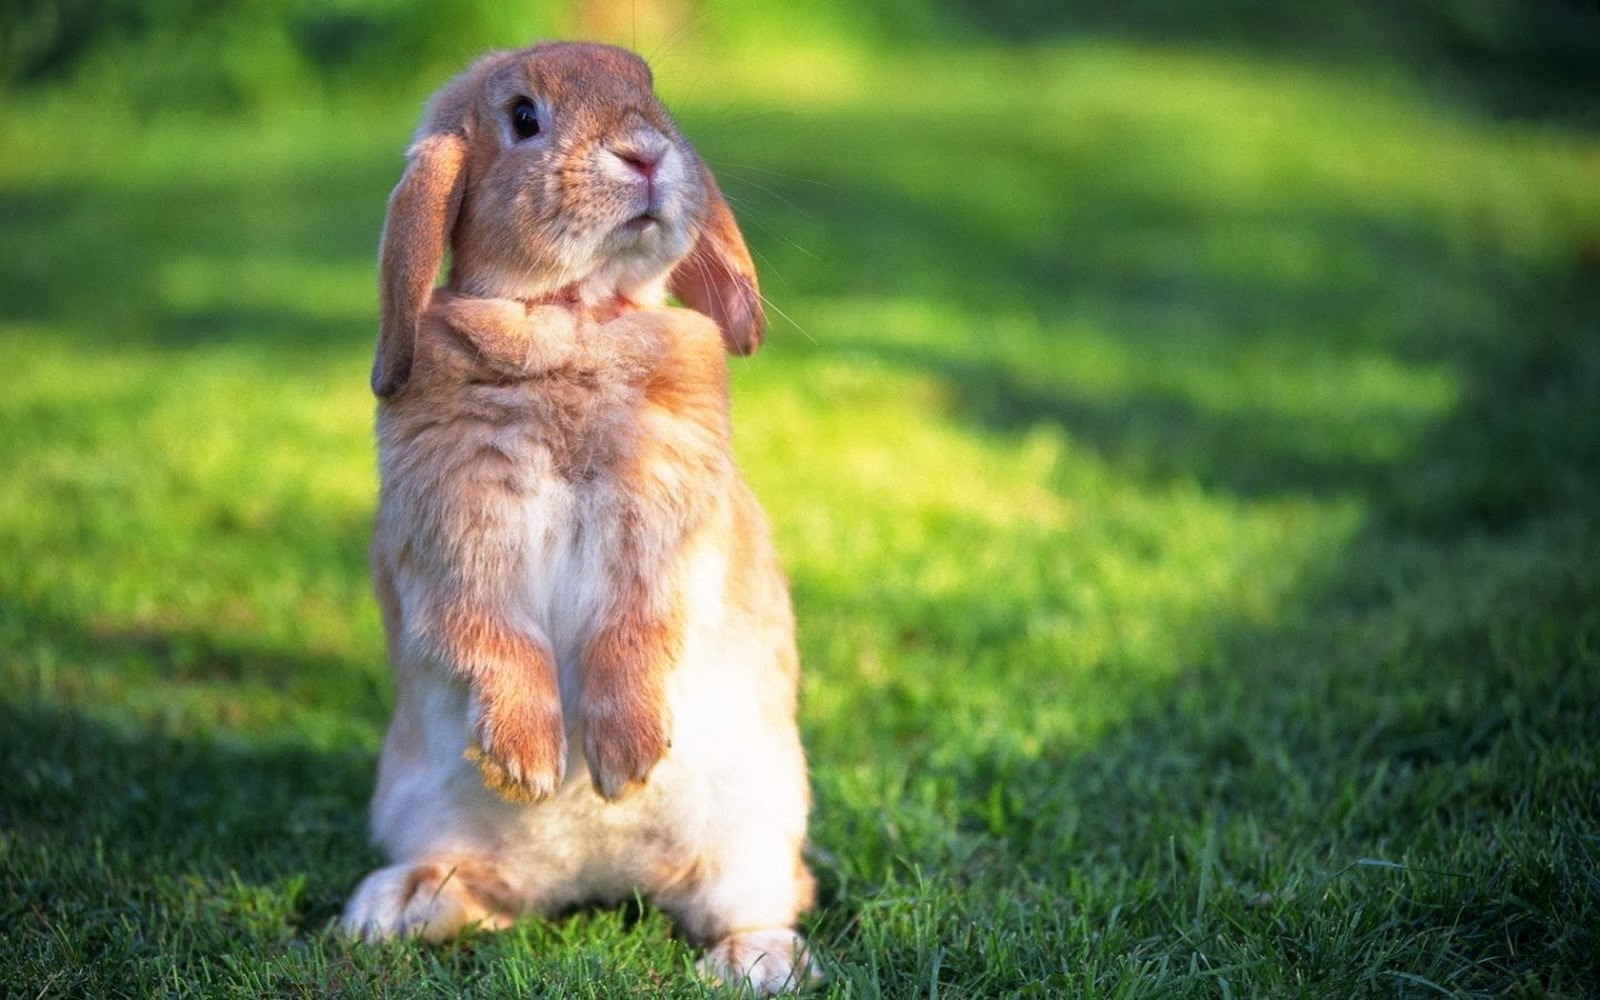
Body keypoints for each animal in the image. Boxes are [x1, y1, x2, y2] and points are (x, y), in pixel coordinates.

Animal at [339, 42, 816, 994]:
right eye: (524, 117)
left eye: (651, 93)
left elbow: (633, 631)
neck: (571, 317)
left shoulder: (665, 538)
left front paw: (625, 762)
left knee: (760, 901)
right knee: (486, 894)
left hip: (755, 833)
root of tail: (596, 881)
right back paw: (392, 907)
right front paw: (529, 764)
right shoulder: (455, 543)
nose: (646, 154)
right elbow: (494, 635)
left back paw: (753, 961)